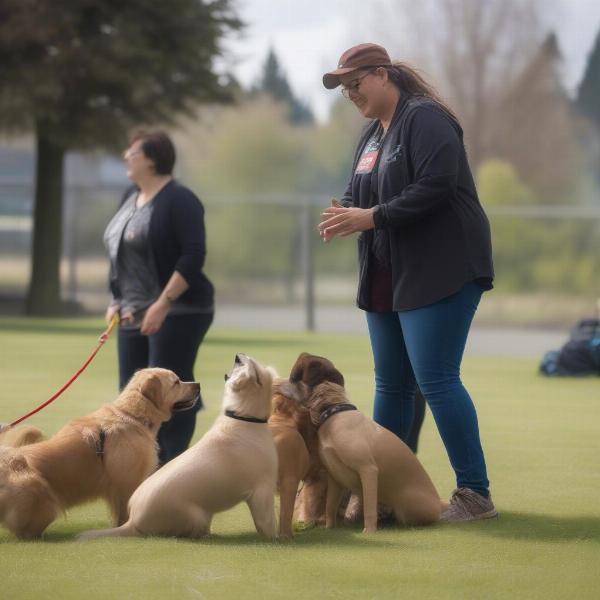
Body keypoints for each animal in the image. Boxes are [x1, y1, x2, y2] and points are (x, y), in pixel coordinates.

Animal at [0, 366, 199, 540]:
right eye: (176, 382)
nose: (197, 384)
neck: (132, 416)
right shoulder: (127, 483)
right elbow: (124, 513)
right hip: (43, 499)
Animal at [78, 354, 282, 540]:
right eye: (254, 370)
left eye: (253, 362)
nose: (238, 356)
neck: (243, 418)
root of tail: (133, 522)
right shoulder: (262, 490)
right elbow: (267, 523)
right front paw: (277, 538)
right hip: (197, 517)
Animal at [292, 382, 442, 532]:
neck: (335, 415)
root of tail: (441, 504)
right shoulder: (334, 478)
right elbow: (330, 506)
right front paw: (329, 527)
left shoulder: (368, 470)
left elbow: (369, 507)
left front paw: (369, 531)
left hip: (406, 500)